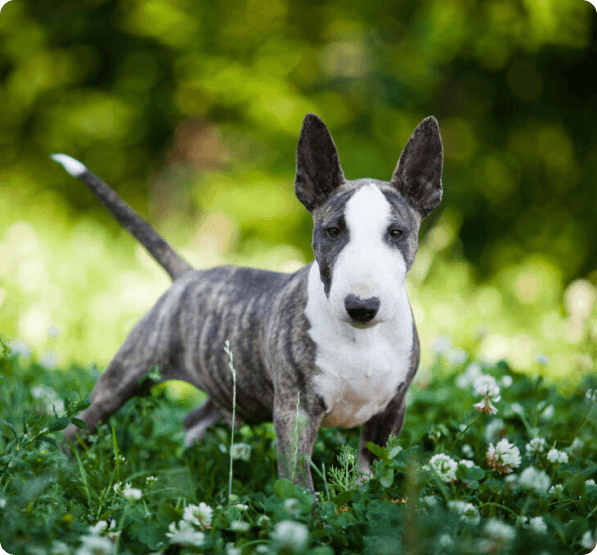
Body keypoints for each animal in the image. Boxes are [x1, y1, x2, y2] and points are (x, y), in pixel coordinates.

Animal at [52, 114, 442, 496]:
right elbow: (299, 483)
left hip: (230, 389)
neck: (362, 338)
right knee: (78, 426)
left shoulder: (391, 410)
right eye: (333, 231)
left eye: (397, 233)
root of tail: (188, 276)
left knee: (194, 418)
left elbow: (373, 473)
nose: (361, 306)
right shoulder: (295, 412)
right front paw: (309, 514)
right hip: (128, 373)